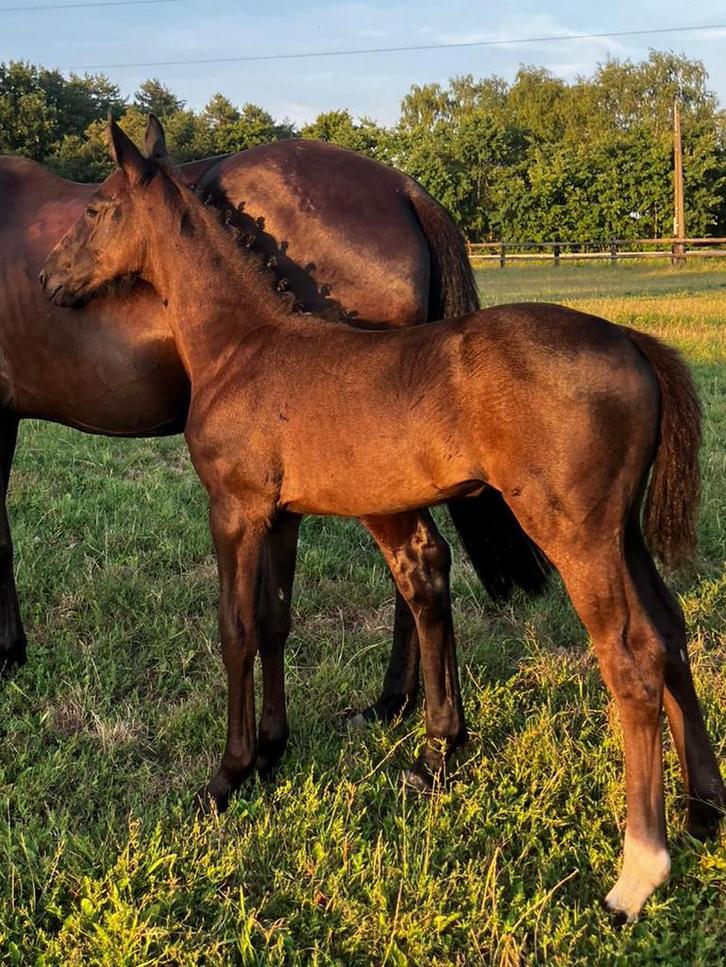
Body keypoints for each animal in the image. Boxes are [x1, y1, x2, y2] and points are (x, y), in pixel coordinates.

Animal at [0, 121, 548, 723]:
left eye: (95, 210)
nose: (48, 278)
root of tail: (404, 188)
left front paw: (7, 654)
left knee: (416, 567)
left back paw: (395, 704)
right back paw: (401, 704)